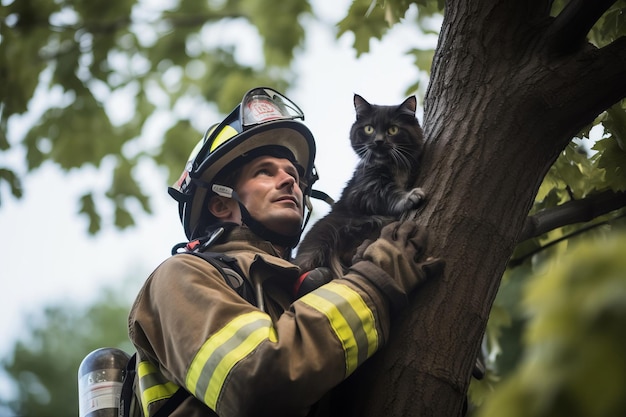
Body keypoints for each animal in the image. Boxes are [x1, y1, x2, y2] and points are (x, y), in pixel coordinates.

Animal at [294, 92, 424, 278]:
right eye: (369, 129)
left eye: (393, 129)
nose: (378, 141)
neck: (391, 164)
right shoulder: (364, 190)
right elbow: (388, 194)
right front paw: (409, 196)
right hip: (320, 241)